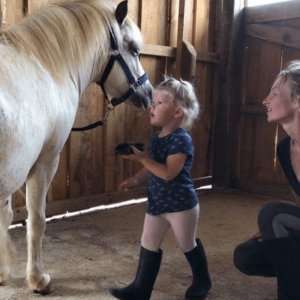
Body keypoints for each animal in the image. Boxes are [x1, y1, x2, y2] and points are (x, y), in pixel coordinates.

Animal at [0, 0, 151, 294]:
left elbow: (5, 217)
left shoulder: (12, 169)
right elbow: (37, 221)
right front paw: (38, 279)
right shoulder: (45, 163)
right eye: (134, 50)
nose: (149, 93)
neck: (45, 66)